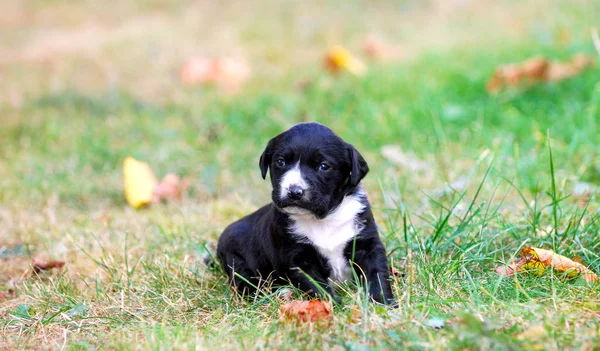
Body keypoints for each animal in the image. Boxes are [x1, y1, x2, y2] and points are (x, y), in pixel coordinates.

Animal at [216, 121, 394, 306]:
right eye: (281, 162)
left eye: (323, 166)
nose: (294, 192)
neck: (322, 219)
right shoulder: (297, 258)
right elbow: (316, 284)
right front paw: (332, 305)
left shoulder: (367, 243)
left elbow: (376, 273)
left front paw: (383, 302)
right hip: (236, 261)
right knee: (245, 282)